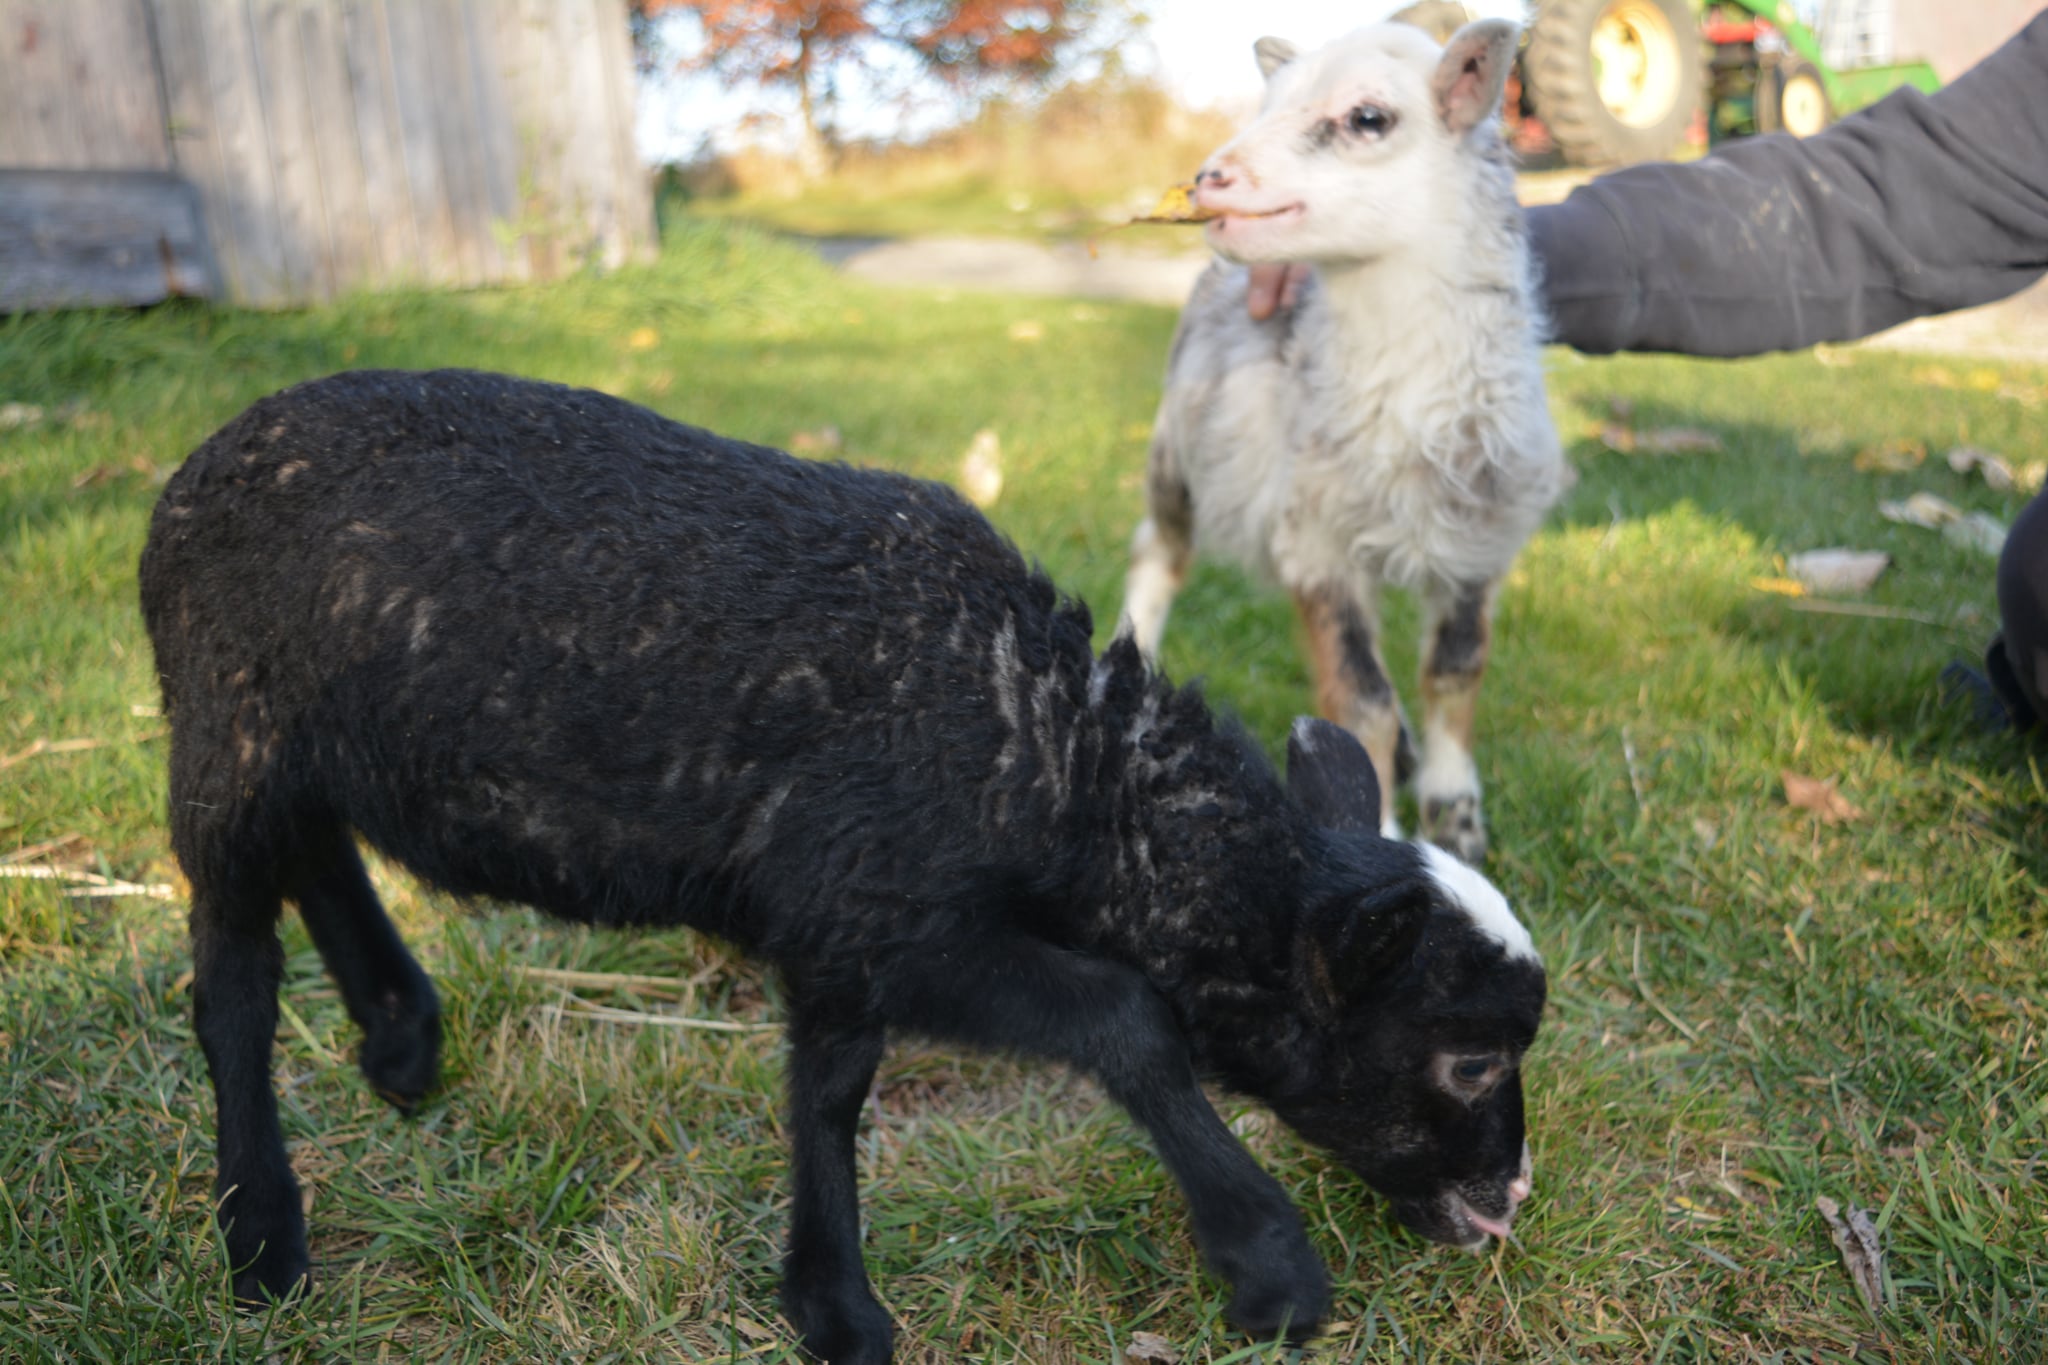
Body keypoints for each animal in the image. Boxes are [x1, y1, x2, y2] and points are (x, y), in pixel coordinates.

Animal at [139, 369, 1546, 1365]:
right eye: (1468, 1059)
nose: (1510, 1200)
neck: (1046, 754)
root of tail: (189, 473)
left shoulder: (835, 919)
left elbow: (827, 1088)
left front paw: (829, 1306)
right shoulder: (893, 913)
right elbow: (1125, 1019)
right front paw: (1268, 1268)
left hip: (303, 732)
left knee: (318, 851)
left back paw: (398, 1033)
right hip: (227, 724)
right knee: (232, 976)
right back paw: (261, 1236)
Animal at [1120, 19, 1567, 865]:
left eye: (1368, 118)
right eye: (1268, 103)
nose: (1208, 178)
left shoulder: (1478, 539)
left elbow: (1453, 672)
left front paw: (1456, 814)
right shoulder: (1316, 542)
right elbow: (1364, 700)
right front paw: (1384, 828)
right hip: (1175, 457)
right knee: (1156, 557)